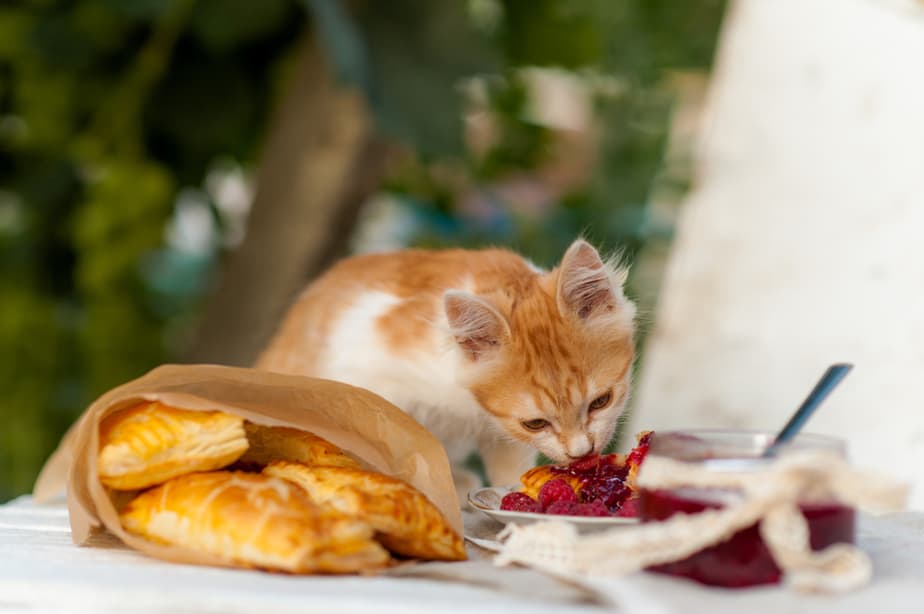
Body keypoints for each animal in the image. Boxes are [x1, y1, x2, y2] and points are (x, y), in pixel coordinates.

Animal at [256, 238, 640, 498]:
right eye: (535, 423)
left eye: (601, 401)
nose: (582, 452)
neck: (469, 402)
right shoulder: (366, 375)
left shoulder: (500, 434)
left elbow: (510, 470)